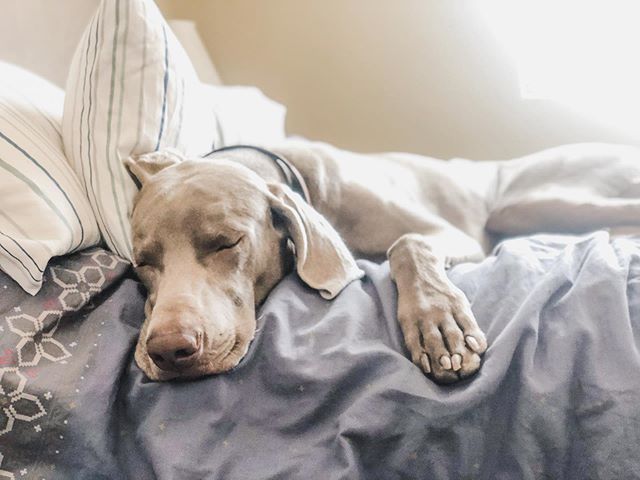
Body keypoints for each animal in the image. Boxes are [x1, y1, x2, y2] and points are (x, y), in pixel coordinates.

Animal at [124, 142, 640, 382]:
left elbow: (406, 243)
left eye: (227, 242)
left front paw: (440, 330)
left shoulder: (448, 233)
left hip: (524, 201)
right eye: (142, 262)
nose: (168, 350)